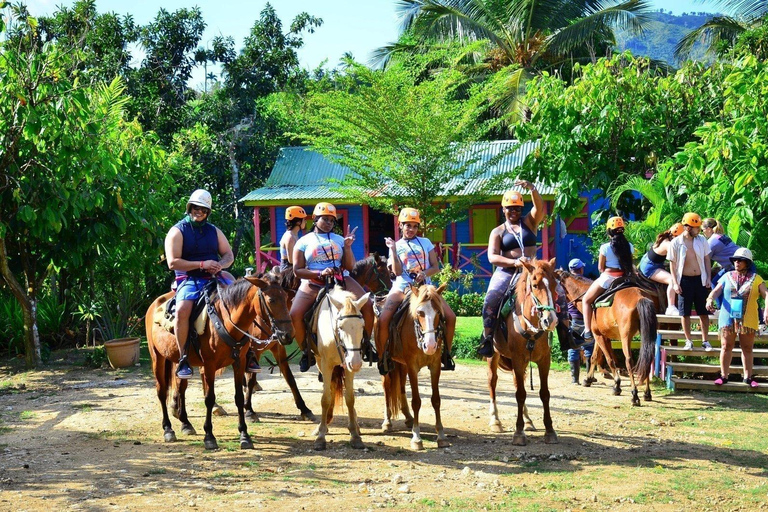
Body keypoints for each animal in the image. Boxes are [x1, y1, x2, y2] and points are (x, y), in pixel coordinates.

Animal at [144, 278, 288, 450]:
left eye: (286, 297)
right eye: (271, 300)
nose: (287, 334)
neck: (227, 322)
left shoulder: (239, 363)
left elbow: (239, 397)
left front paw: (244, 435)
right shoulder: (209, 366)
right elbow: (209, 398)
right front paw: (209, 436)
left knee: (181, 389)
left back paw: (186, 424)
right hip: (157, 357)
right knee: (161, 391)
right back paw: (168, 429)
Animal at [314, 286, 370, 450]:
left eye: (362, 326)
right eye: (341, 327)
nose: (356, 363)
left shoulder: (349, 367)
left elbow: (350, 398)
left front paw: (355, 435)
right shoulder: (326, 364)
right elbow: (325, 398)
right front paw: (321, 436)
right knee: (330, 387)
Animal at [380, 284, 450, 448]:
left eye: (438, 312)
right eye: (420, 313)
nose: (430, 346)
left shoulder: (435, 365)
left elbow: (436, 399)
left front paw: (441, 435)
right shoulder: (412, 366)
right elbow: (416, 401)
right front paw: (416, 437)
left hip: (402, 364)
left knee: (400, 387)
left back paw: (408, 418)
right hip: (386, 364)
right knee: (386, 388)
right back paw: (387, 422)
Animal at [488, 258, 560, 446]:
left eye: (555, 284)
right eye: (534, 285)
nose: (550, 320)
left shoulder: (544, 360)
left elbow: (544, 394)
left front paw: (550, 430)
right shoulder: (518, 359)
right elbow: (520, 394)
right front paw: (519, 432)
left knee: (516, 382)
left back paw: (528, 420)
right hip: (493, 355)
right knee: (492, 382)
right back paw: (495, 420)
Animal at [556, 270, 656, 406]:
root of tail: (640, 297)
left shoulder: (599, 336)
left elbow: (609, 359)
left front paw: (617, 386)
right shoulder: (600, 336)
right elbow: (594, 357)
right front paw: (588, 379)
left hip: (626, 337)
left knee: (629, 361)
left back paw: (635, 396)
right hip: (646, 335)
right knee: (647, 359)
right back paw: (647, 393)